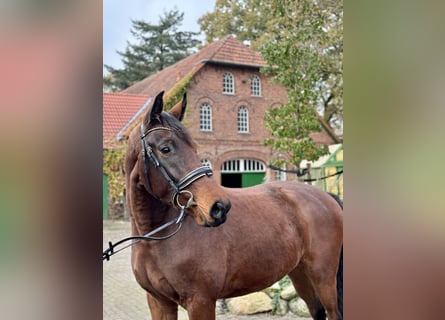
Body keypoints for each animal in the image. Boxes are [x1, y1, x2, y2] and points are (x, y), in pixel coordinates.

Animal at [125, 91, 344, 318]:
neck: (154, 240)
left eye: (195, 148)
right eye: (165, 149)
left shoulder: (201, 302)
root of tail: (326, 197)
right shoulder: (159, 302)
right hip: (300, 274)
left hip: (323, 277)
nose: (219, 207)